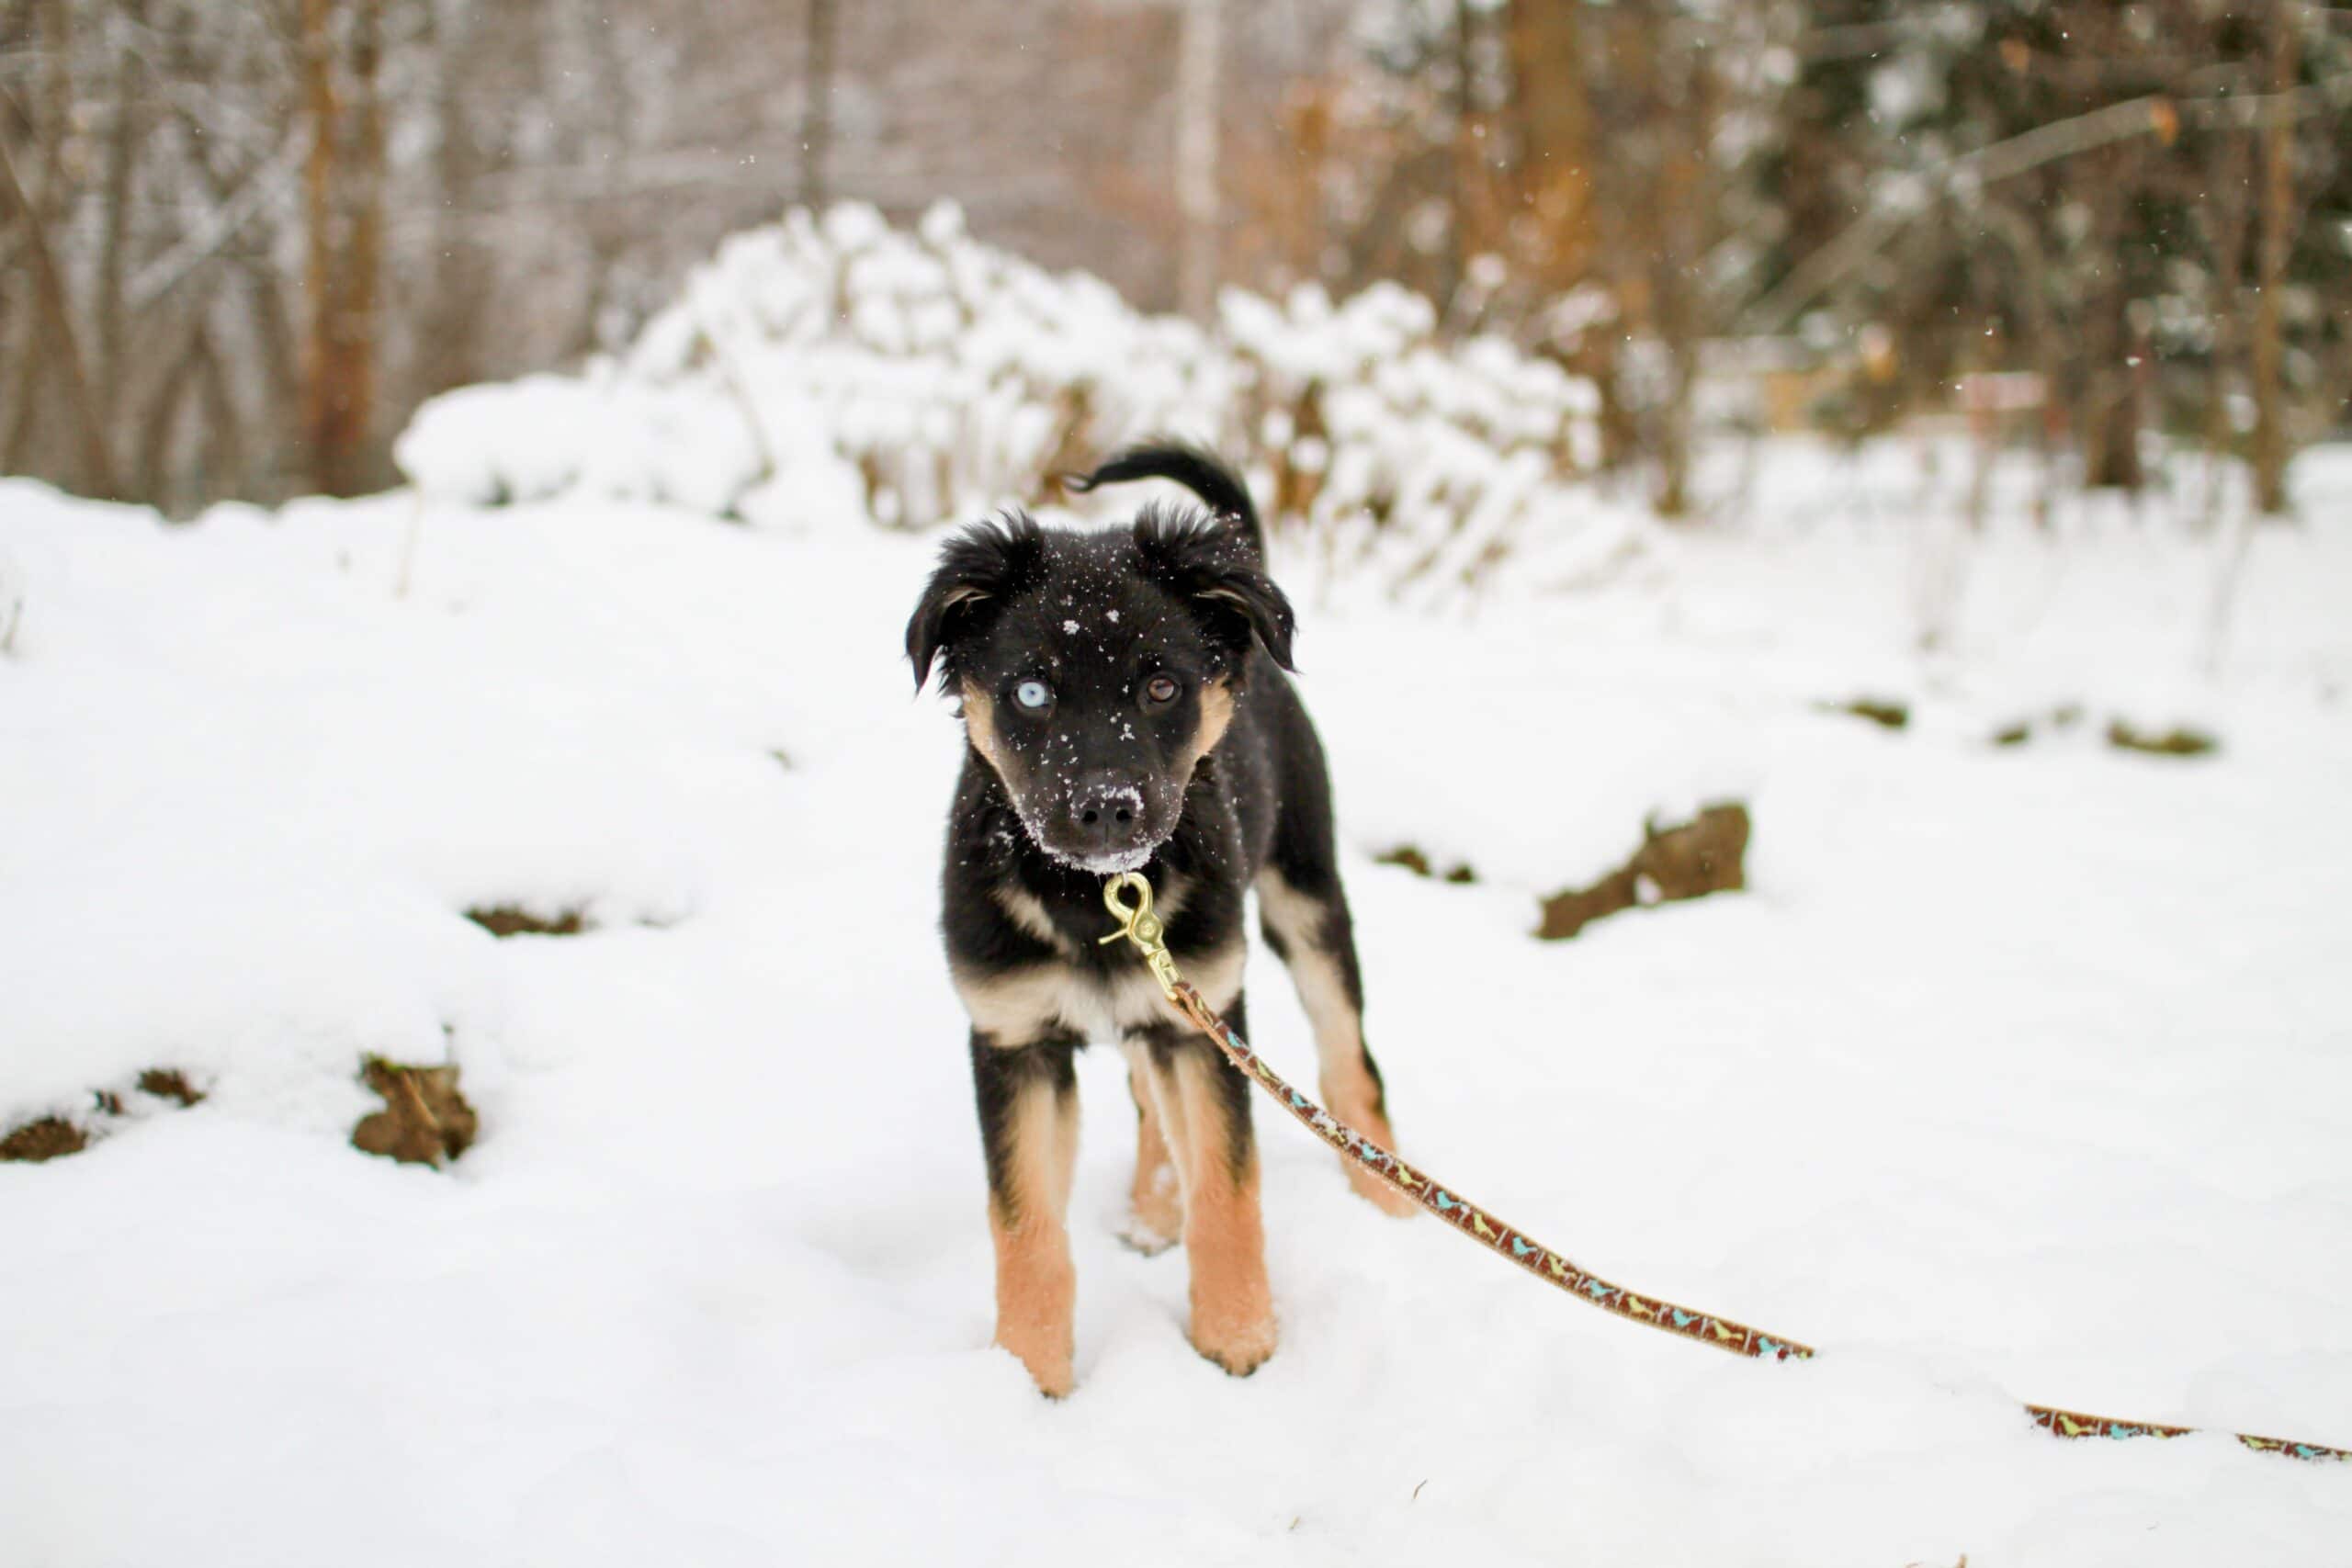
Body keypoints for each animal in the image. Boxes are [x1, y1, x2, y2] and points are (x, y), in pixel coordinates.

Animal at [903, 442, 1411, 1401]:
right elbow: (1025, 1225)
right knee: (1148, 1099)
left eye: (1163, 685)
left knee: (1348, 1062)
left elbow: (1230, 1187)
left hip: (1302, 896)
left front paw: (1239, 1336)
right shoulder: (1013, 1036)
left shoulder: (1208, 1014)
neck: (1090, 897)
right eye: (1032, 690)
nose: (1108, 808)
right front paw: (1027, 1375)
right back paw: (1150, 1211)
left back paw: (1387, 1199)